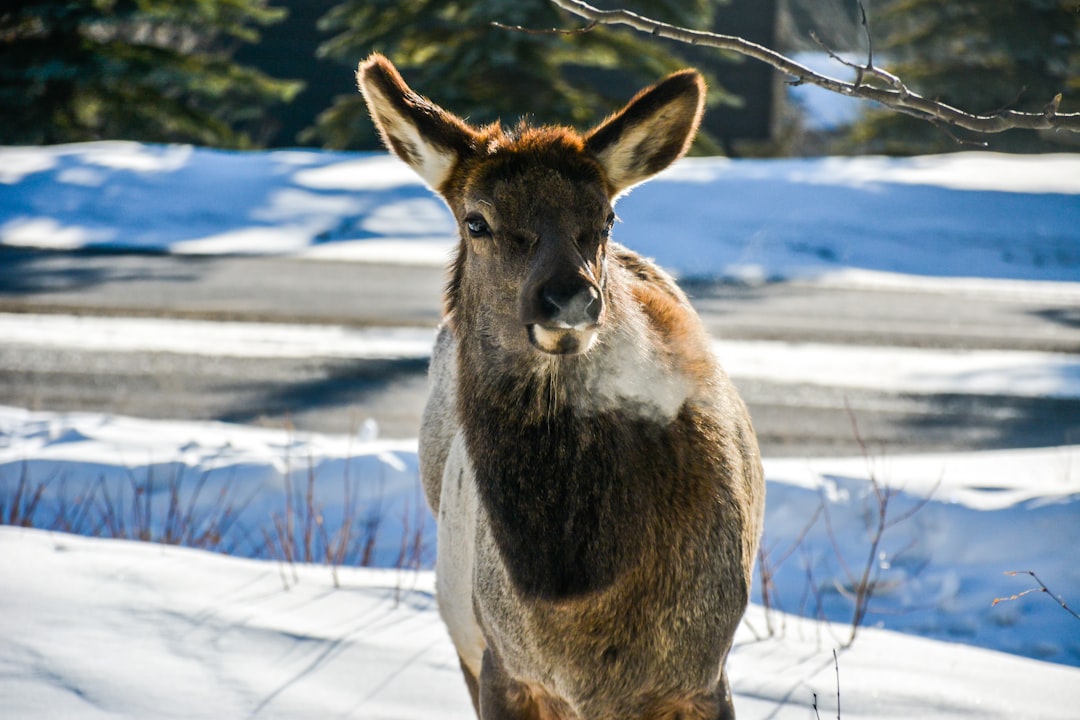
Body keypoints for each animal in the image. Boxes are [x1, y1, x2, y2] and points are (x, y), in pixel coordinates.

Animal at [358, 53, 764, 716]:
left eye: (606, 216)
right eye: (477, 221)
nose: (569, 296)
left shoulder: (703, 674)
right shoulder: (501, 663)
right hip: (460, 625)